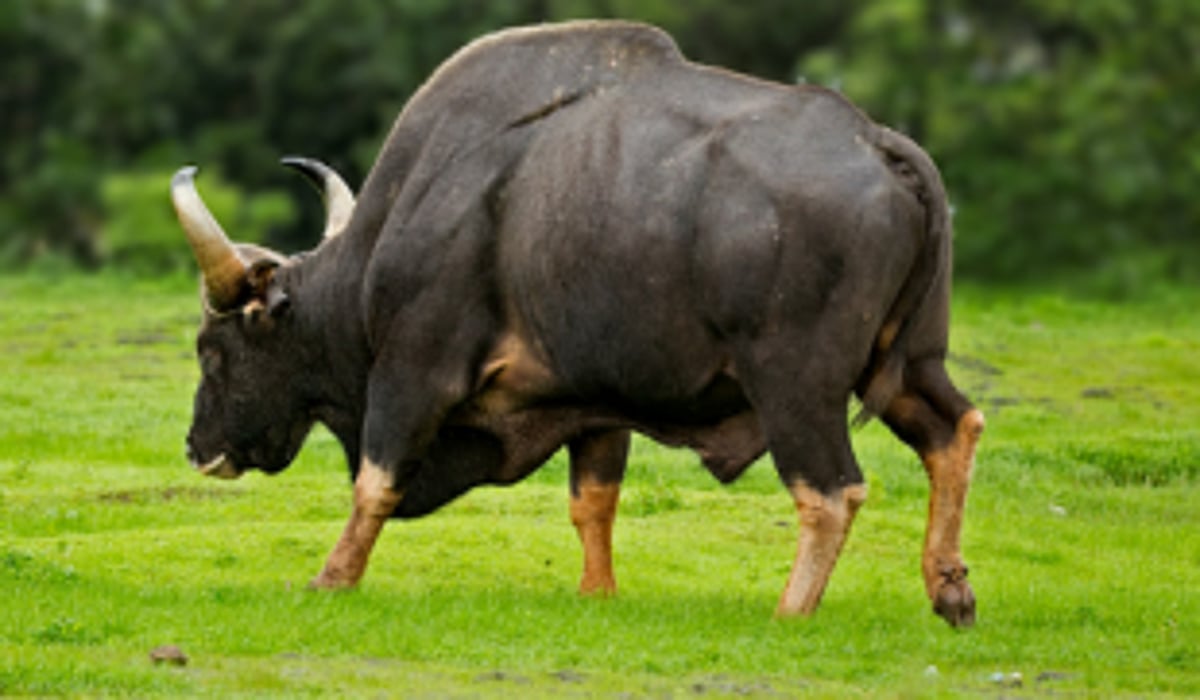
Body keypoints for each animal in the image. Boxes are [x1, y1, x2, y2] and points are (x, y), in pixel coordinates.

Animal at [171, 20, 983, 626]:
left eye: (213, 351)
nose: (196, 446)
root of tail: (877, 143)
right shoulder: (596, 401)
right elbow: (592, 500)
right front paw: (598, 592)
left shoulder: (413, 373)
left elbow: (376, 483)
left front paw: (333, 577)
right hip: (908, 364)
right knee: (954, 429)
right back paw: (948, 587)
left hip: (797, 386)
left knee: (831, 491)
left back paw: (792, 609)